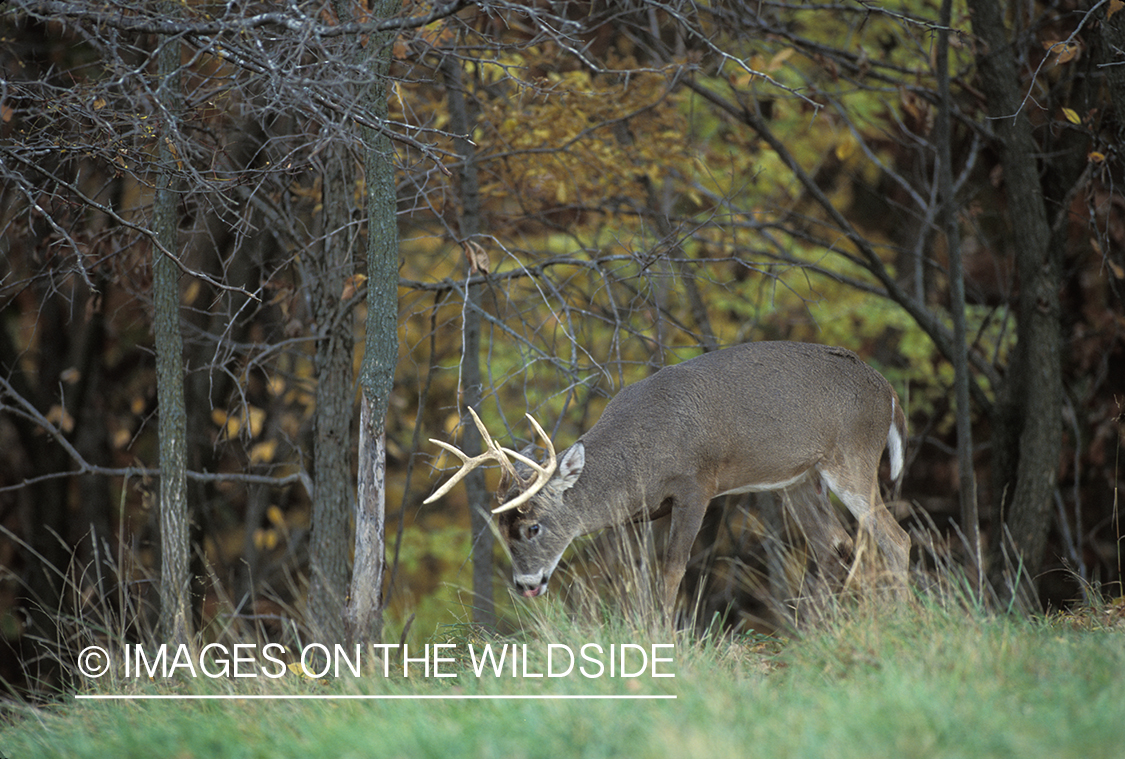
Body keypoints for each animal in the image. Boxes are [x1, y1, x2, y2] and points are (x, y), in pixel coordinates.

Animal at [425, 341, 909, 611]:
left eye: (533, 527)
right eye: (502, 529)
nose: (526, 584)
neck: (645, 454)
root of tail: (887, 390)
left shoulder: (697, 485)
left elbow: (672, 569)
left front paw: (666, 640)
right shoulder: (641, 514)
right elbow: (634, 576)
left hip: (852, 456)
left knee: (895, 537)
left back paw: (902, 619)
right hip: (797, 478)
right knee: (834, 542)